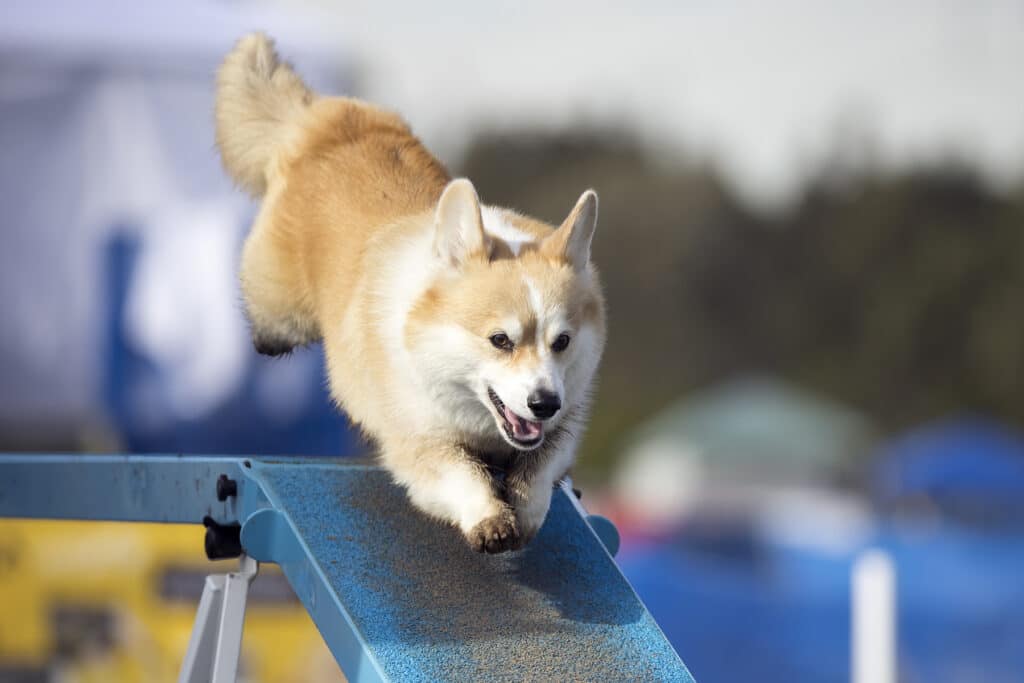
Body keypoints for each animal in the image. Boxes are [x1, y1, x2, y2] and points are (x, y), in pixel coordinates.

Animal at [212, 33, 602, 557]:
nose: (544, 403)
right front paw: (490, 519)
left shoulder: (565, 426)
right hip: (280, 308)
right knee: (270, 326)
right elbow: (460, 474)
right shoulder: (421, 439)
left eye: (562, 342)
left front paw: (523, 510)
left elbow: (539, 472)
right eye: (500, 340)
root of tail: (323, 116)